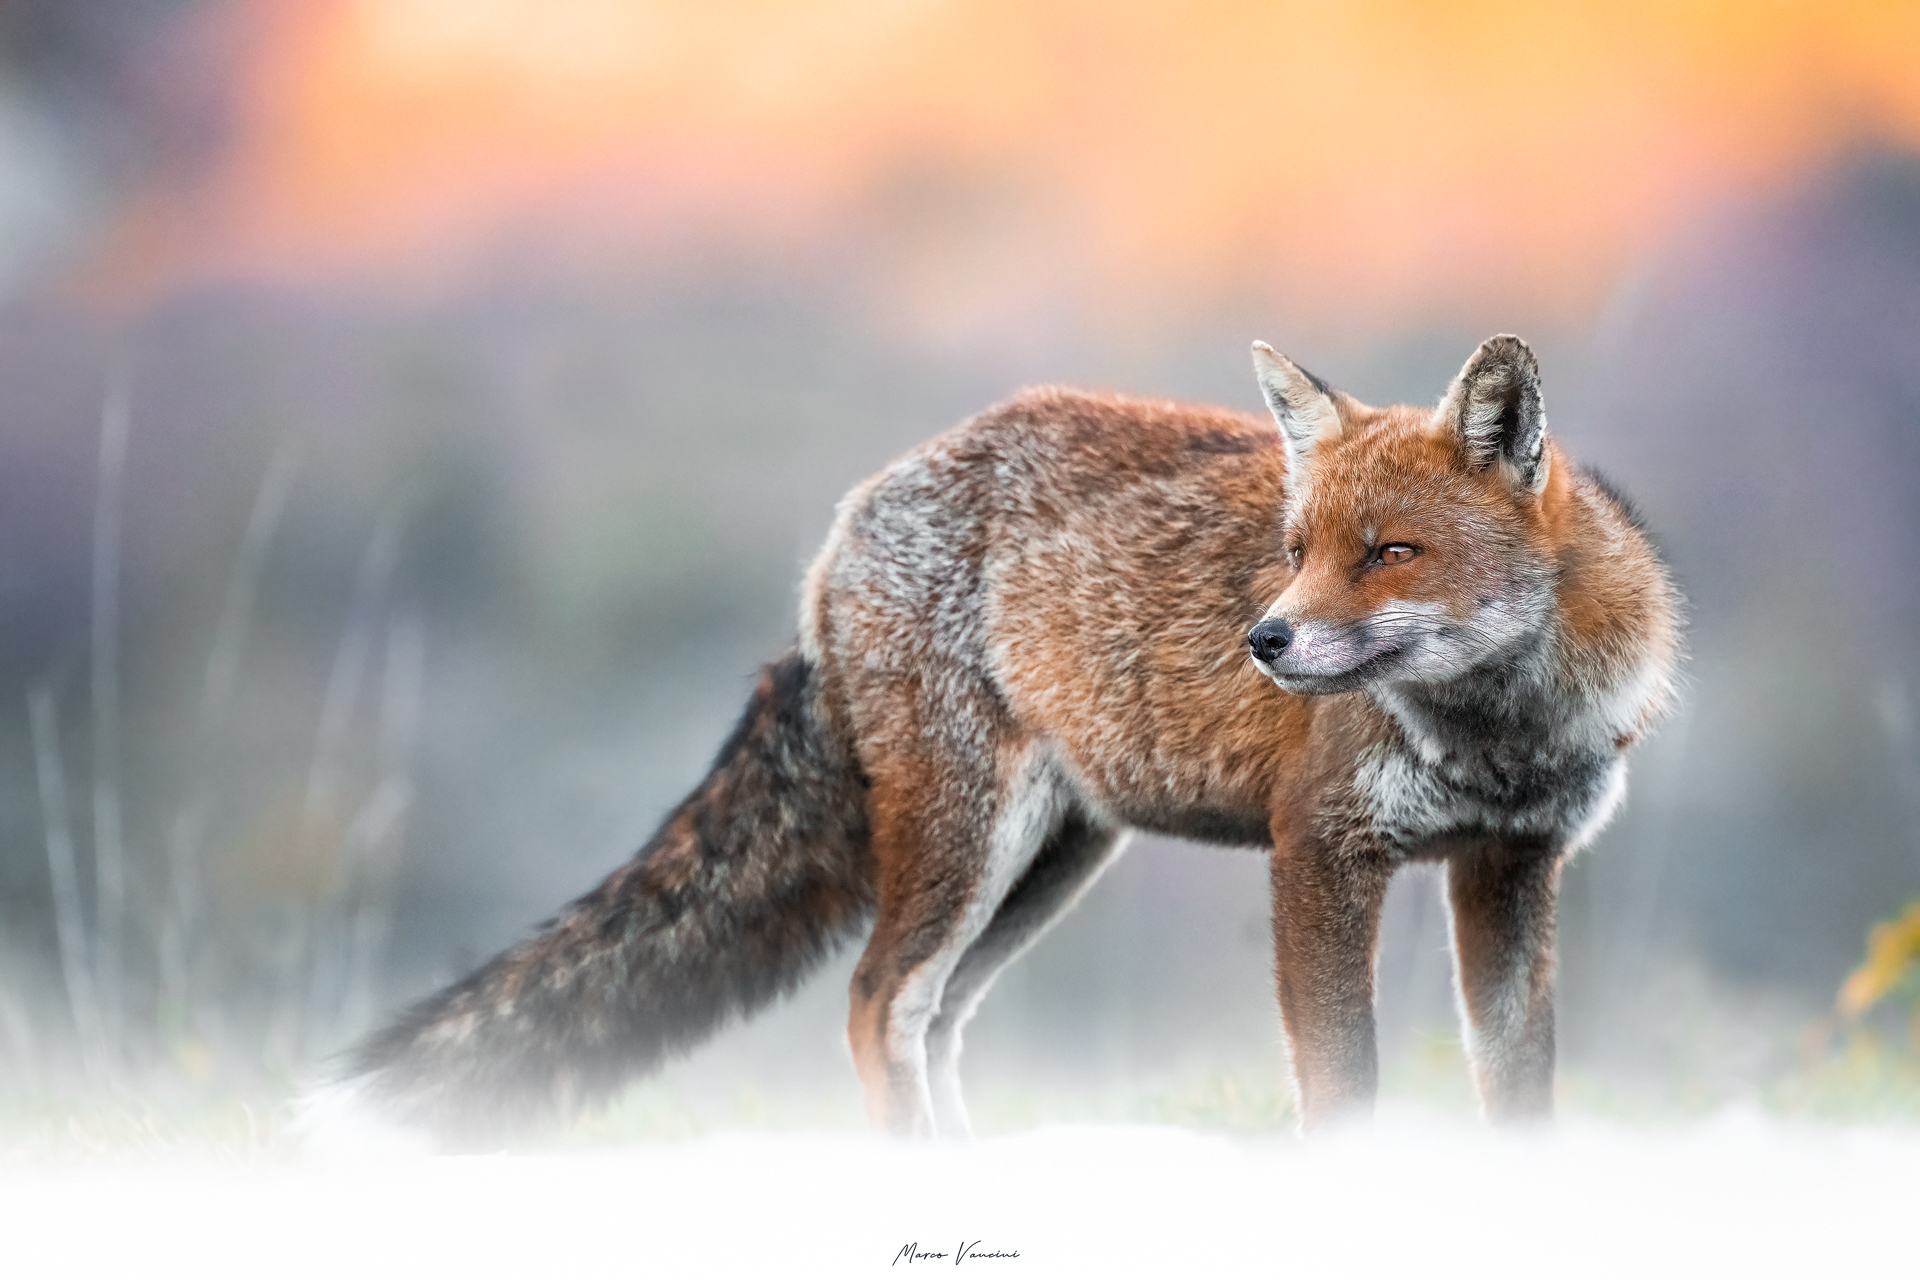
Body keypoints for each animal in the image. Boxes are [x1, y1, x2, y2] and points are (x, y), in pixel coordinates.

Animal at [318, 334, 1680, 1145]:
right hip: (971, 841)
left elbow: (1522, 1086)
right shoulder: (1321, 853)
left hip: (1049, 860)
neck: (1495, 739)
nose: (1265, 641)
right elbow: (1343, 1088)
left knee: (935, 1017)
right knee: (877, 1002)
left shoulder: (1510, 865)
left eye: (1390, 551)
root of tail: (856, 511)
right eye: (1297, 550)